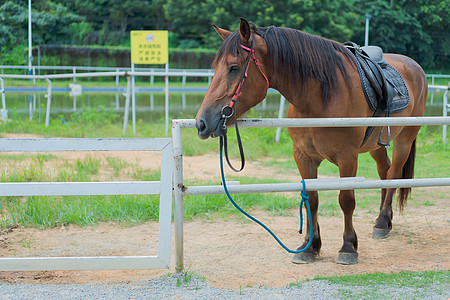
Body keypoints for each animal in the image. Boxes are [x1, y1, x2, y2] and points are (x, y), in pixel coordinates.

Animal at [195, 18, 428, 264]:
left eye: (234, 68)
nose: (201, 123)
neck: (319, 97)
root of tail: (414, 66)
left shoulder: (347, 157)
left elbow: (346, 200)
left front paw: (348, 247)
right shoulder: (303, 156)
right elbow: (312, 199)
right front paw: (310, 247)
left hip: (404, 139)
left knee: (394, 174)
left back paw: (382, 222)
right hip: (376, 144)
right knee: (384, 172)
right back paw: (383, 220)